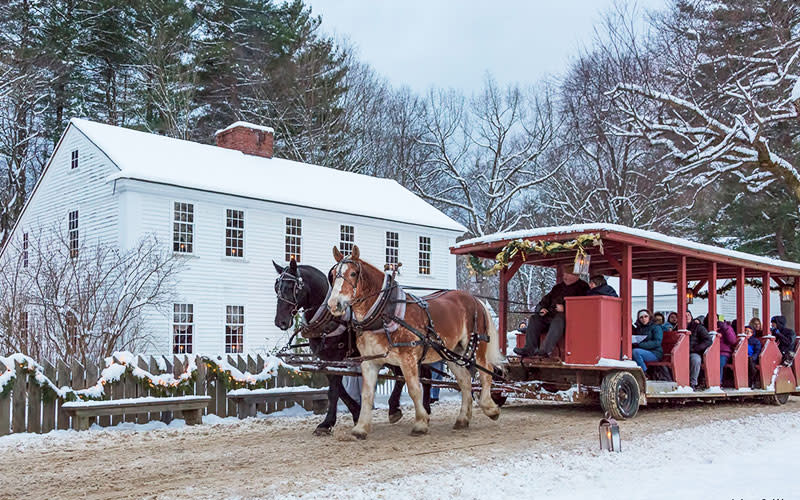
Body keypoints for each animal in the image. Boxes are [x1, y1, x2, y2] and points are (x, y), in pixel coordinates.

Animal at [272, 260, 432, 436]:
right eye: (276, 287)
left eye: (291, 287)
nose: (280, 321)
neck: (330, 318)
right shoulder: (326, 360)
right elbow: (339, 389)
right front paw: (356, 412)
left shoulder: (337, 357)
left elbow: (334, 391)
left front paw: (327, 423)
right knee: (413, 375)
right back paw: (403, 408)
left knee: (417, 375)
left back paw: (417, 409)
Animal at [324, 245, 500, 438]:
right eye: (333, 274)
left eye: (353, 273)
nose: (333, 304)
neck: (384, 313)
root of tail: (475, 299)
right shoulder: (369, 362)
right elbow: (367, 394)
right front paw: (361, 427)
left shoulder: (407, 359)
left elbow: (414, 389)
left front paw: (421, 423)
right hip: (452, 353)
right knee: (465, 380)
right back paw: (462, 418)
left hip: (477, 345)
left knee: (486, 372)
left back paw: (490, 407)